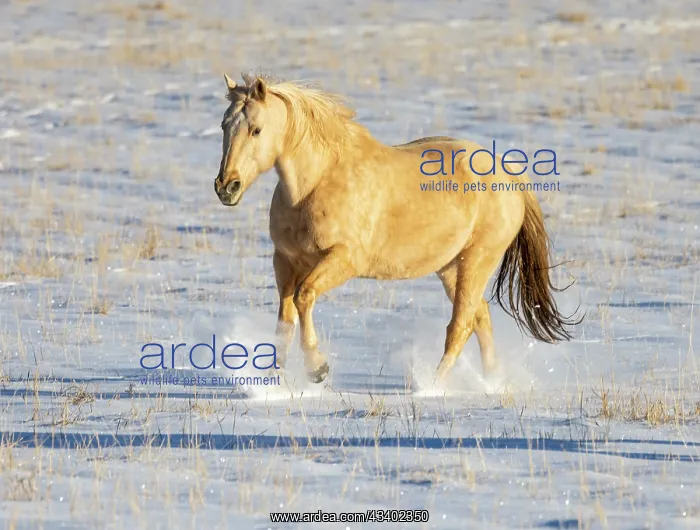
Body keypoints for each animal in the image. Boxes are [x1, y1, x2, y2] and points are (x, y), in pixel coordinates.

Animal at [213, 72, 580, 384]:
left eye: (257, 129)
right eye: (223, 126)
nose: (226, 187)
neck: (316, 184)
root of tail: (511, 177)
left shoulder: (344, 260)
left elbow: (304, 298)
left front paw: (317, 368)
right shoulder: (286, 262)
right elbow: (285, 319)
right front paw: (275, 380)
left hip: (477, 261)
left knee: (460, 325)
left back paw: (432, 386)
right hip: (451, 268)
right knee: (480, 318)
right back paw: (490, 383)